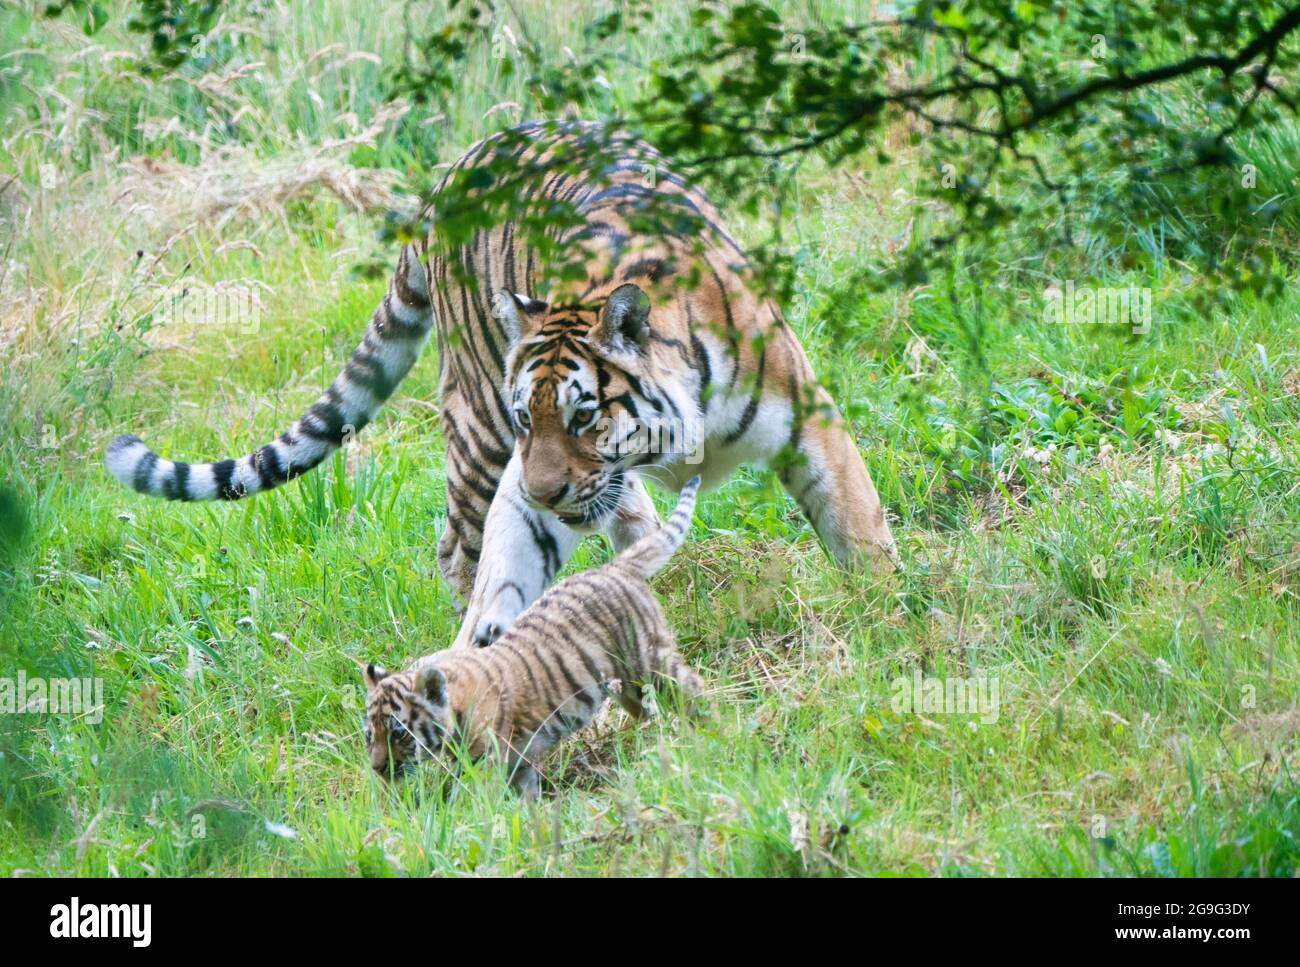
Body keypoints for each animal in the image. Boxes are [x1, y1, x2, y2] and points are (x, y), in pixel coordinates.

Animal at [104, 122, 894, 649]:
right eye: (529, 420)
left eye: (584, 417)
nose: (547, 491)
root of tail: (447, 178)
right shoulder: (521, 471)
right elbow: (504, 568)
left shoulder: (807, 417)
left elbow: (856, 524)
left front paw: (887, 614)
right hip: (476, 426)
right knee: (458, 545)